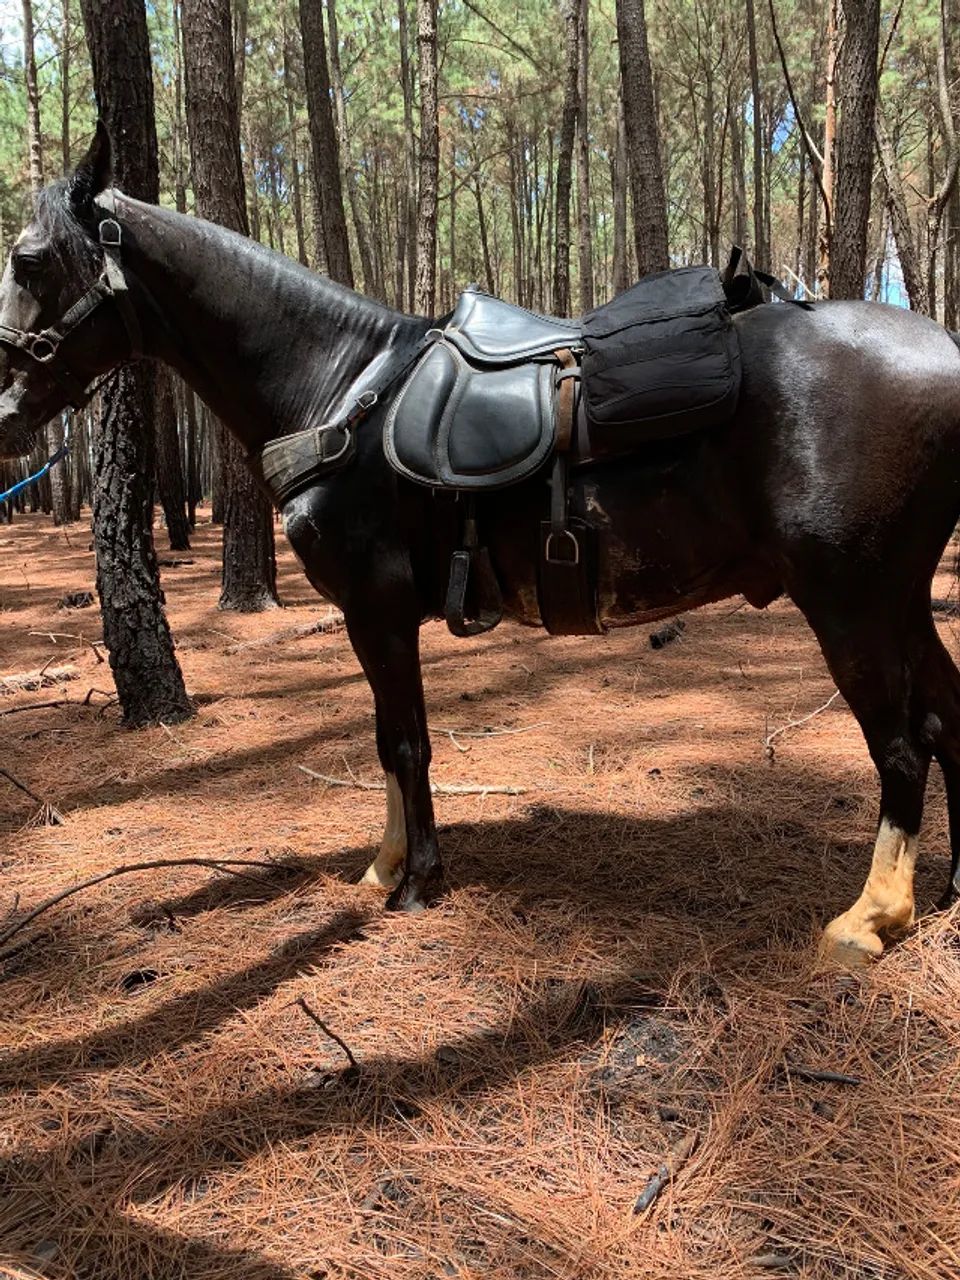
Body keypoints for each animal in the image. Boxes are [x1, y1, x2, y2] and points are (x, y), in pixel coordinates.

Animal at [3, 124, 960, 967]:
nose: (7, 409)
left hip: (852, 600)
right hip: (901, 597)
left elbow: (405, 744)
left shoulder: (378, 609)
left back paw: (870, 919)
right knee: (945, 715)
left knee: (901, 742)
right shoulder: (374, 617)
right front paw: (385, 865)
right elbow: (389, 738)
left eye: (30, 259)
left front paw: (416, 881)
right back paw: (946, 894)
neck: (339, 388)